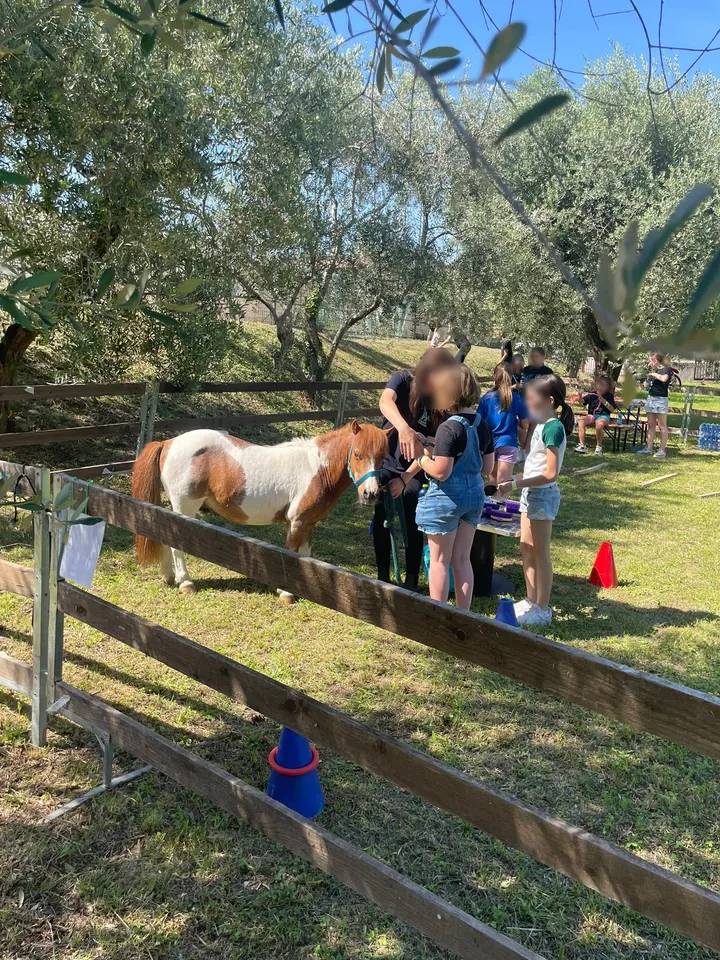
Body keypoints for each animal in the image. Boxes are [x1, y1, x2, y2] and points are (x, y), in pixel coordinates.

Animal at [130, 419, 389, 600]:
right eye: (358, 455)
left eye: (383, 458)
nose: (371, 494)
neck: (317, 469)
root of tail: (169, 443)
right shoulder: (296, 522)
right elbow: (292, 555)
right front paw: (286, 594)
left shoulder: (308, 523)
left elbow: (305, 557)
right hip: (184, 508)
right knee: (176, 544)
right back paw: (185, 583)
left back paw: (168, 577)